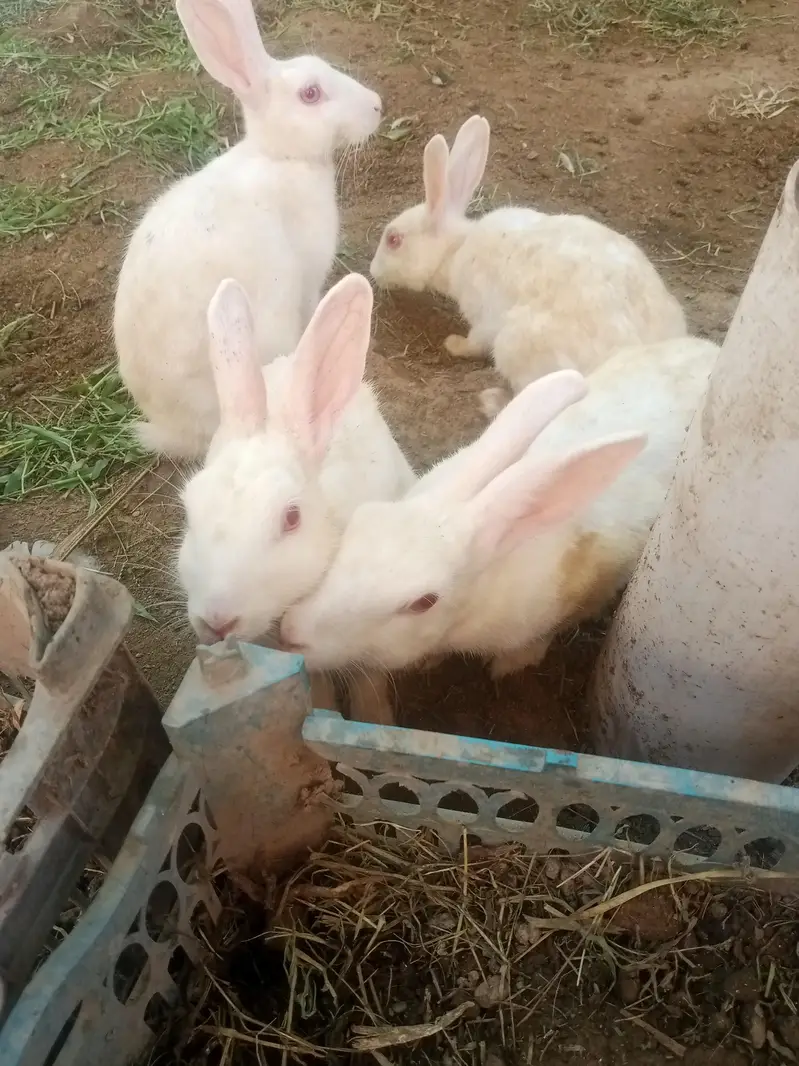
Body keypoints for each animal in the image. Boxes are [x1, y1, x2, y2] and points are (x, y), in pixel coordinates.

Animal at [177, 272, 415, 725]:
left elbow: (370, 677)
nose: (217, 621)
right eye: (188, 514)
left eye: (291, 518)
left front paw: (374, 719)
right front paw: (322, 711)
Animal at [369, 115, 688, 419]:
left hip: (518, 345)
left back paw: (490, 400)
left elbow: (475, 341)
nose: (373, 271)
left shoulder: (483, 316)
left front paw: (453, 344)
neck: (457, 247)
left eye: (393, 240)